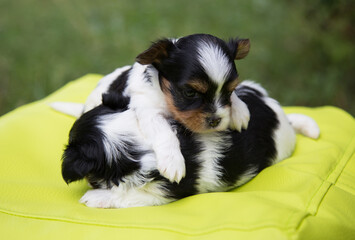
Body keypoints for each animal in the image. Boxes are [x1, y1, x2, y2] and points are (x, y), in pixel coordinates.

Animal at [54, 34, 252, 184]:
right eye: (189, 92)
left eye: (230, 90)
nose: (216, 120)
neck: (166, 98)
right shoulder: (148, 111)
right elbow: (165, 132)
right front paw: (173, 162)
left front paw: (240, 111)